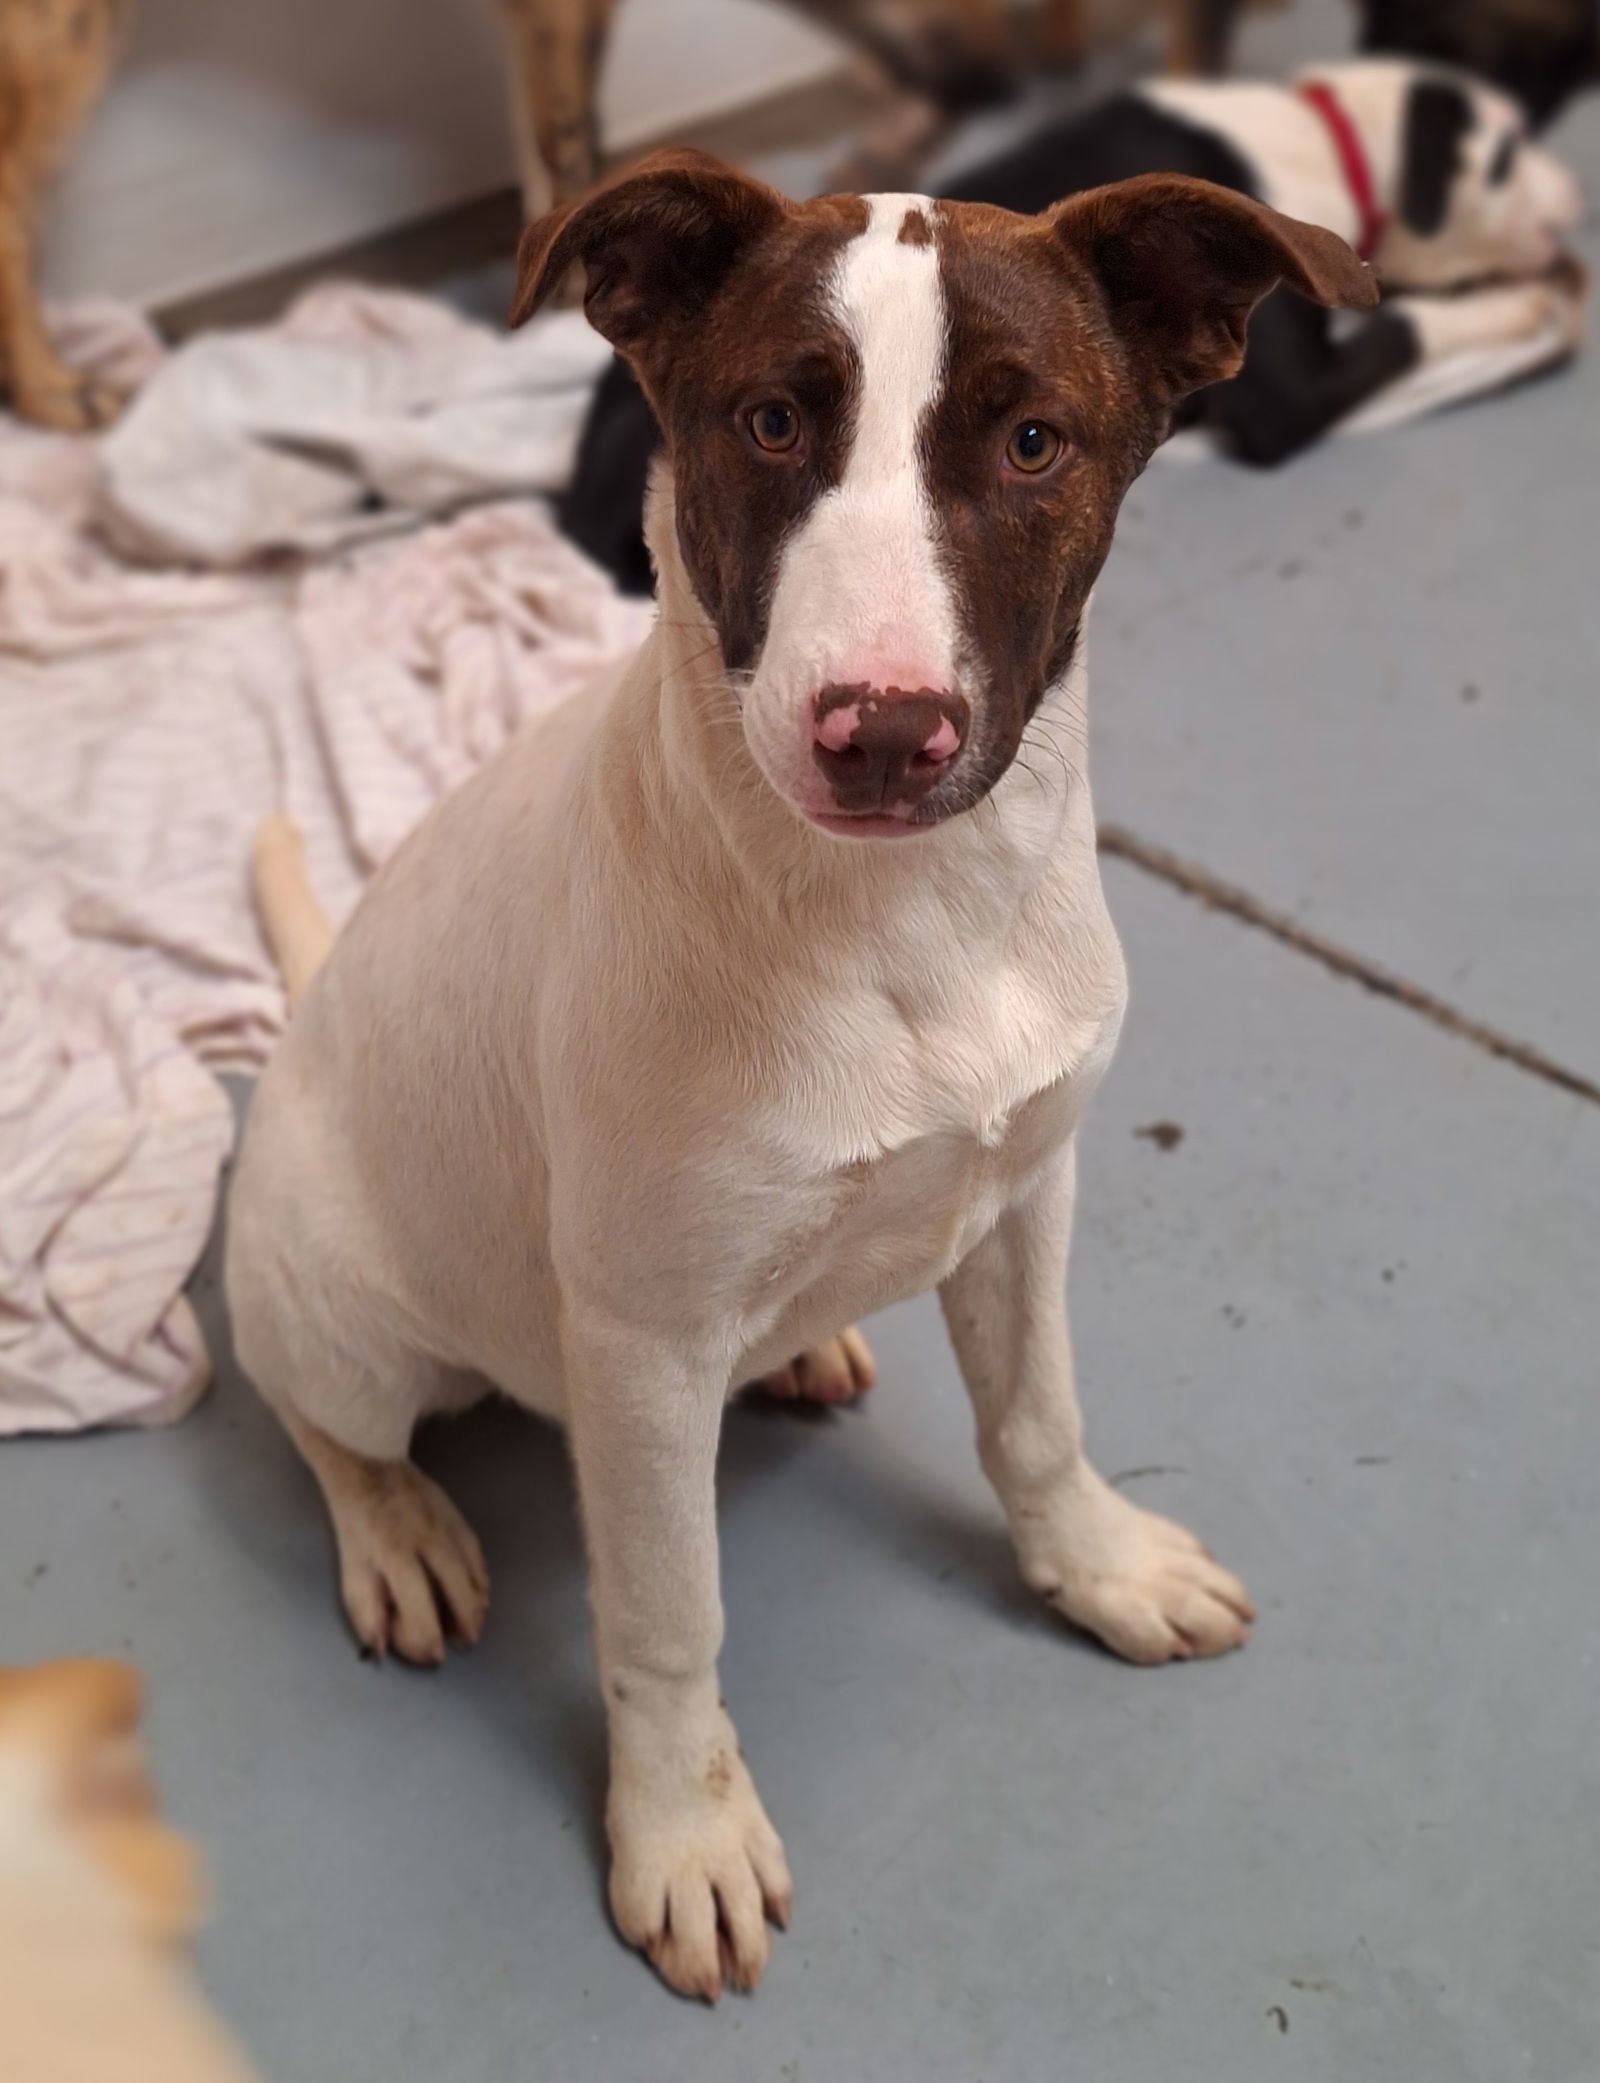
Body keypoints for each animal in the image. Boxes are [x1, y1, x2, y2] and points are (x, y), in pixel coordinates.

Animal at [228, 146, 1375, 1999]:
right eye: (770, 421)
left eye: (1033, 437)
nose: (885, 731)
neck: (901, 919)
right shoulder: (639, 1343)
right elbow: (667, 1614)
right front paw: (681, 1829)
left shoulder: (1027, 1189)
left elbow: (1038, 1415)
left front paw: (1096, 1564)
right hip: (346, 1311)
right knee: (325, 1419)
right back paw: (397, 1526)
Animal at [558, 57, 1575, 595]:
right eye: (1505, 155)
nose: (1577, 204)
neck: (1324, 144)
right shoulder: (1288, 398)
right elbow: (1406, 329)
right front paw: (1527, 305)